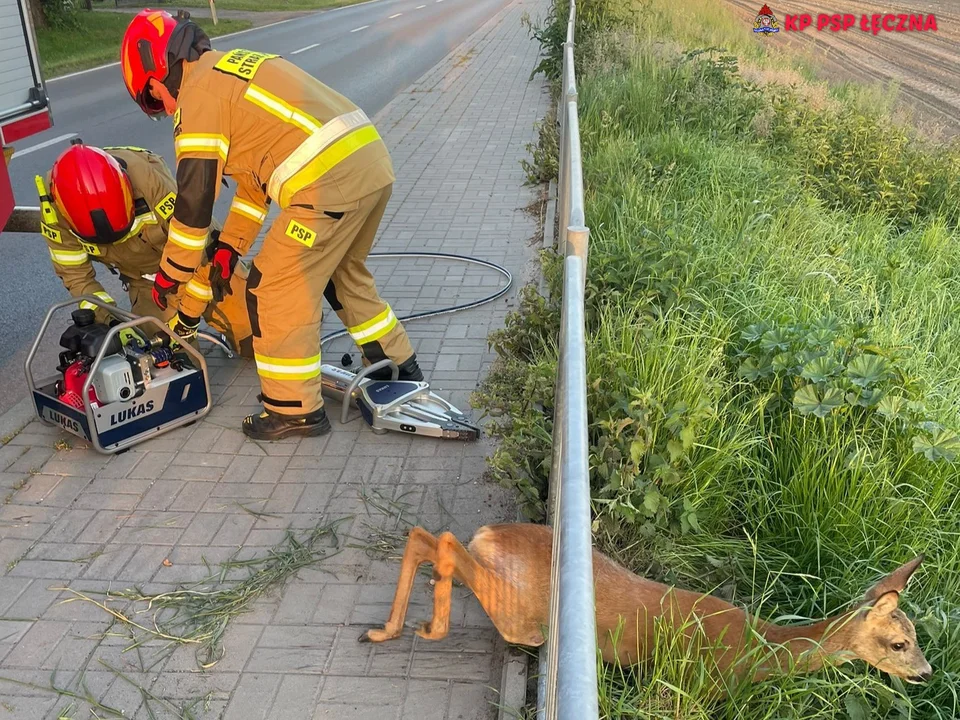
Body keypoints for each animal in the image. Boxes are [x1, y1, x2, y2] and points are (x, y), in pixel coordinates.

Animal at [360, 524, 928, 688]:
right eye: (899, 641)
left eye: (917, 636)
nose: (925, 672)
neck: (759, 649)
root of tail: (489, 535)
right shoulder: (701, 686)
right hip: (522, 616)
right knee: (443, 543)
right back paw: (427, 628)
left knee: (424, 536)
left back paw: (381, 630)